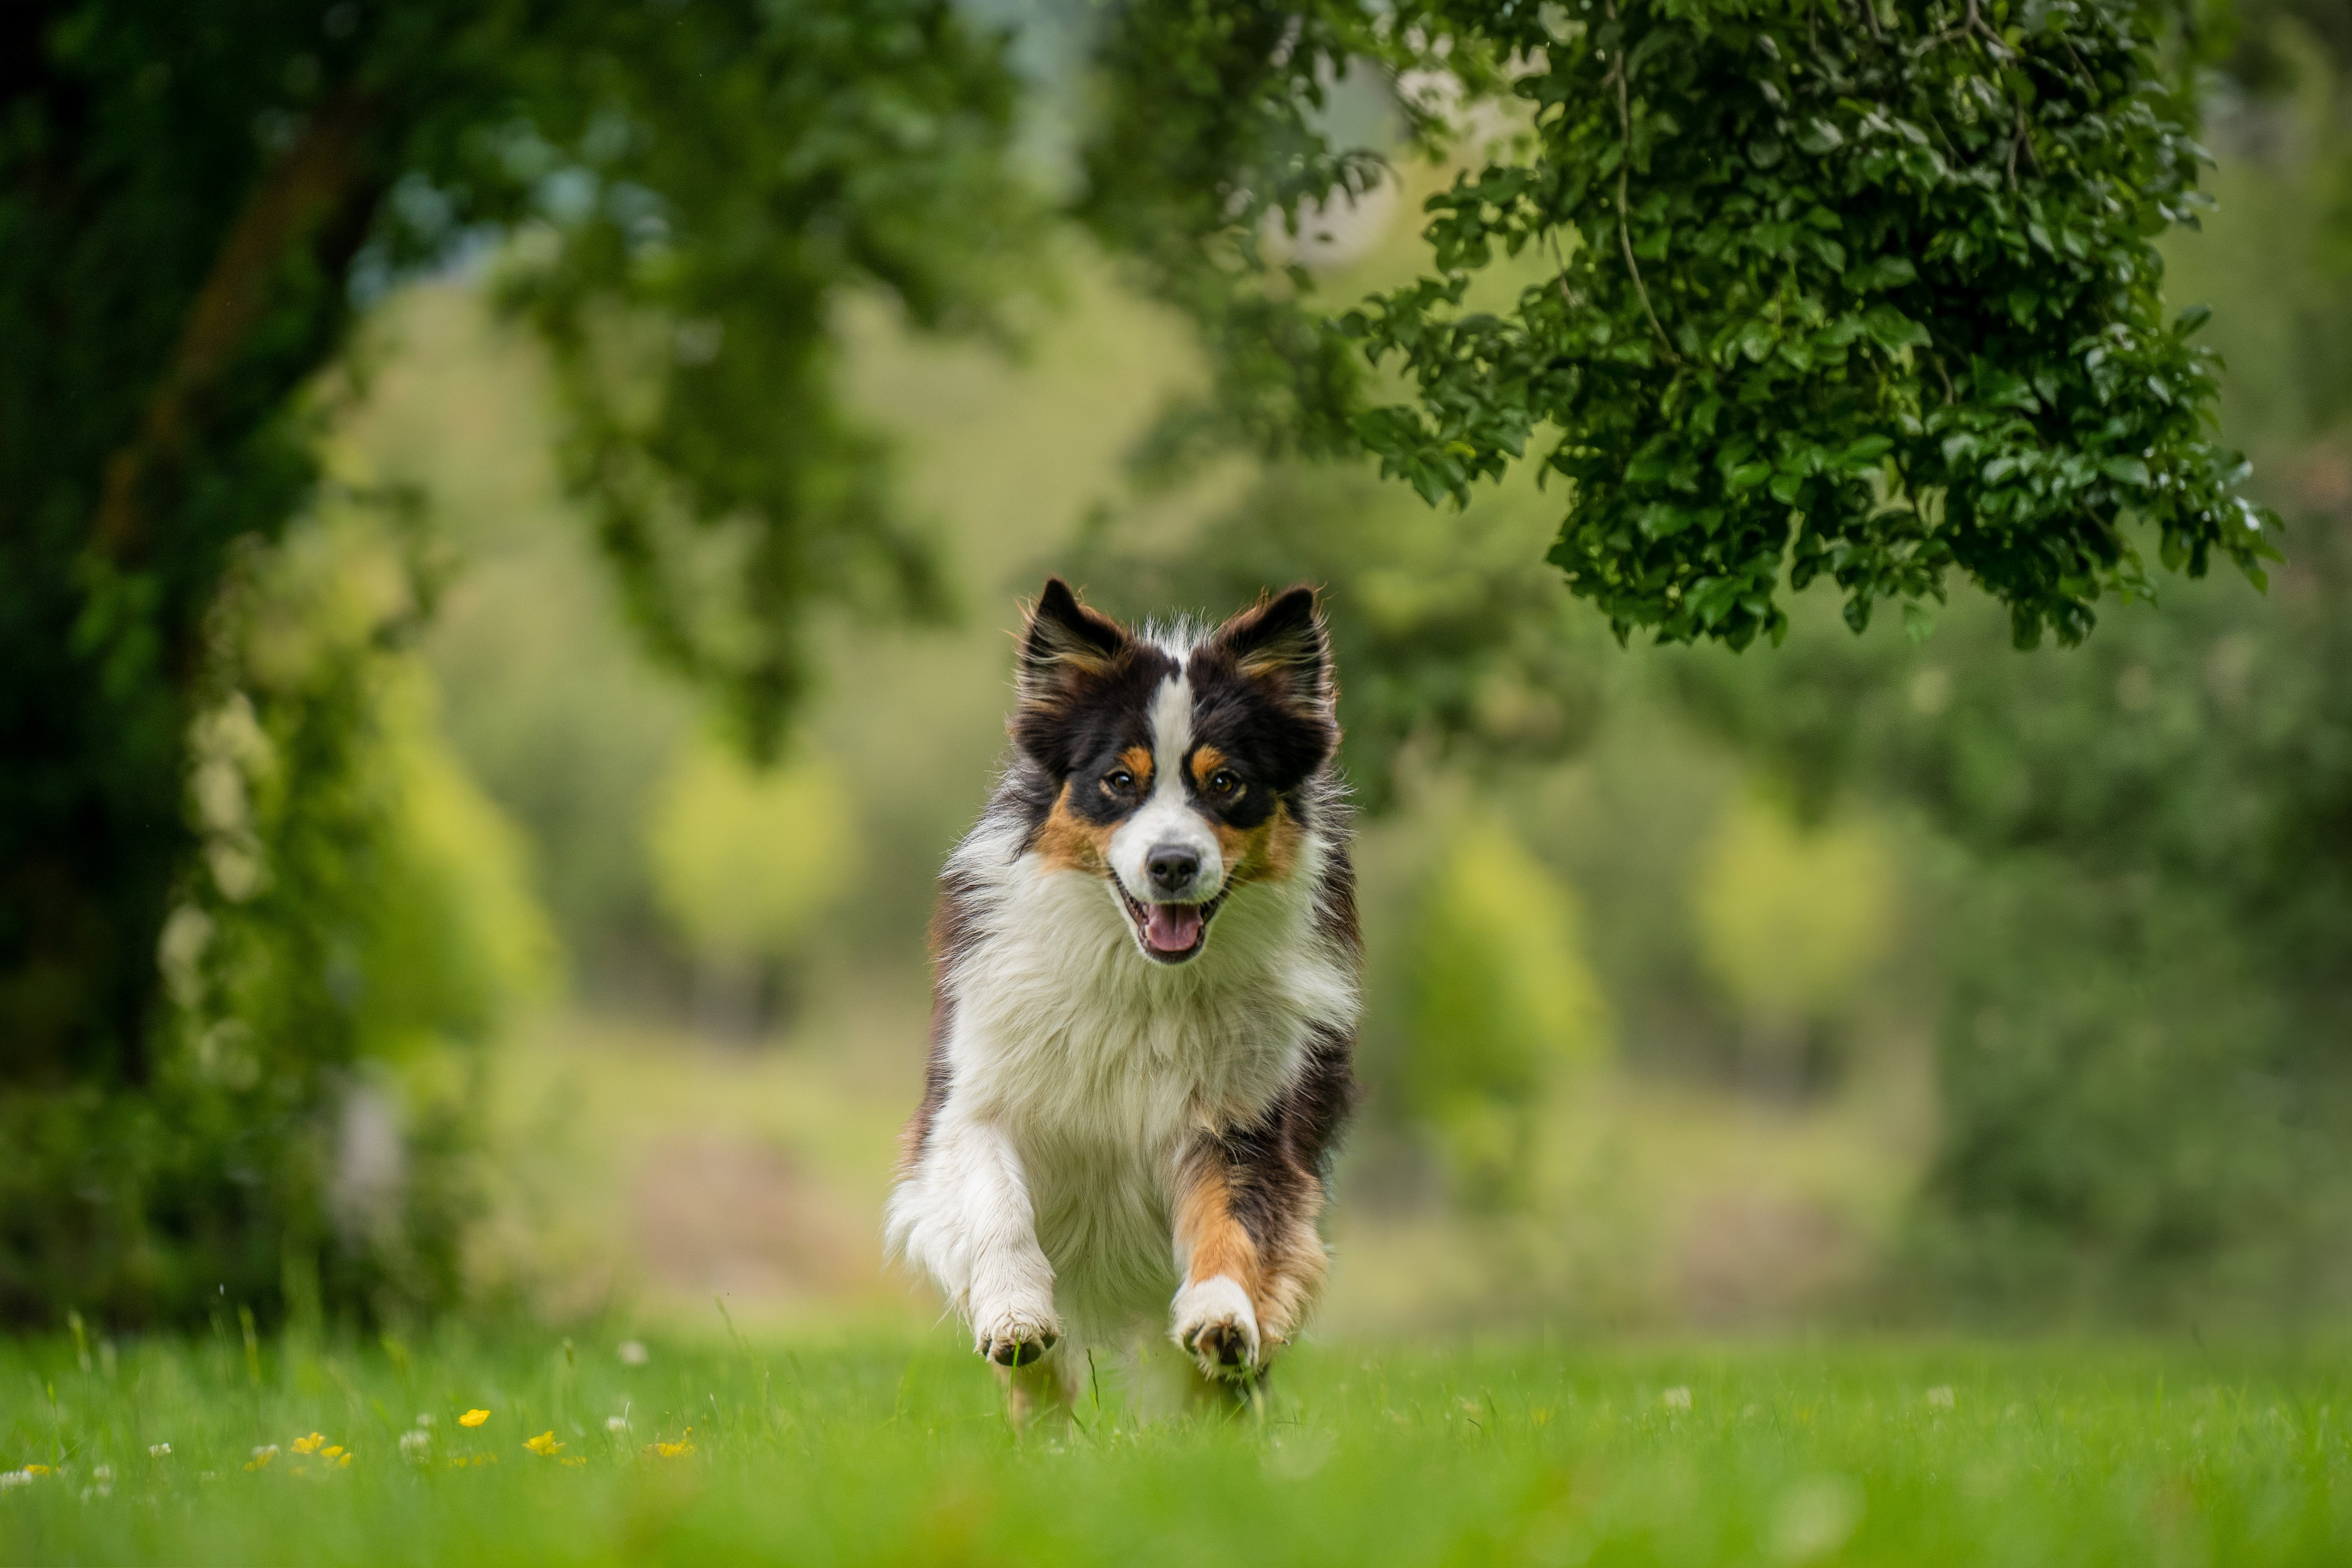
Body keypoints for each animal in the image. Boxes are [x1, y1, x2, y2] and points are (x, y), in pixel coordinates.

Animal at [884, 576, 1364, 1401]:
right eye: (1119, 781)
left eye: (1226, 783)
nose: (1172, 864)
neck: (1142, 983)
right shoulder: (969, 1099)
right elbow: (994, 1201)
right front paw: (1014, 1311)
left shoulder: (1245, 1125)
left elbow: (1232, 1223)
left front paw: (1221, 1314)